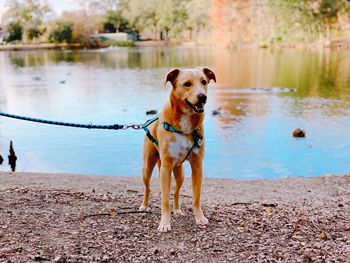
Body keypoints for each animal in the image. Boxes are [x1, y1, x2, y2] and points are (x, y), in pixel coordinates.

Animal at [139, 67, 216, 232]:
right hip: (147, 167)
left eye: (204, 82)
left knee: (176, 192)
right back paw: (144, 205)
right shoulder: (166, 167)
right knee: (148, 188)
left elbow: (196, 197)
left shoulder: (197, 166)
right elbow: (164, 201)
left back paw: (177, 209)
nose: (203, 97)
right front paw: (164, 223)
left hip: (179, 173)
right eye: (187, 84)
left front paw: (199, 217)